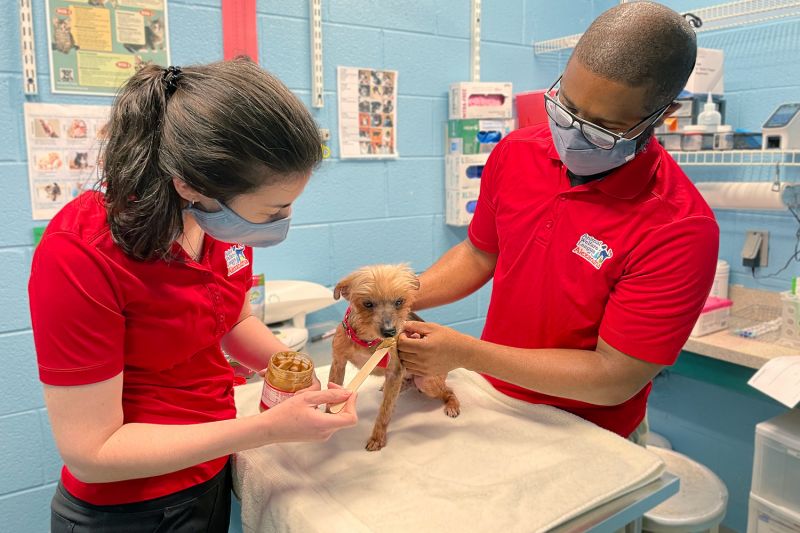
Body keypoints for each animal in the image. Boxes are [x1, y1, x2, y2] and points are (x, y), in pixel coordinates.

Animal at [326, 262, 462, 448]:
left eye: (399, 301)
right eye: (367, 304)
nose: (390, 331)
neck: (368, 340)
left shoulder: (394, 372)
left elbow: (385, 409)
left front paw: (377, 438)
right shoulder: (338, 362)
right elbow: (332, 388)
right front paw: (327, 416)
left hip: (427, 381)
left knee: (448, 390)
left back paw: (452, 405)